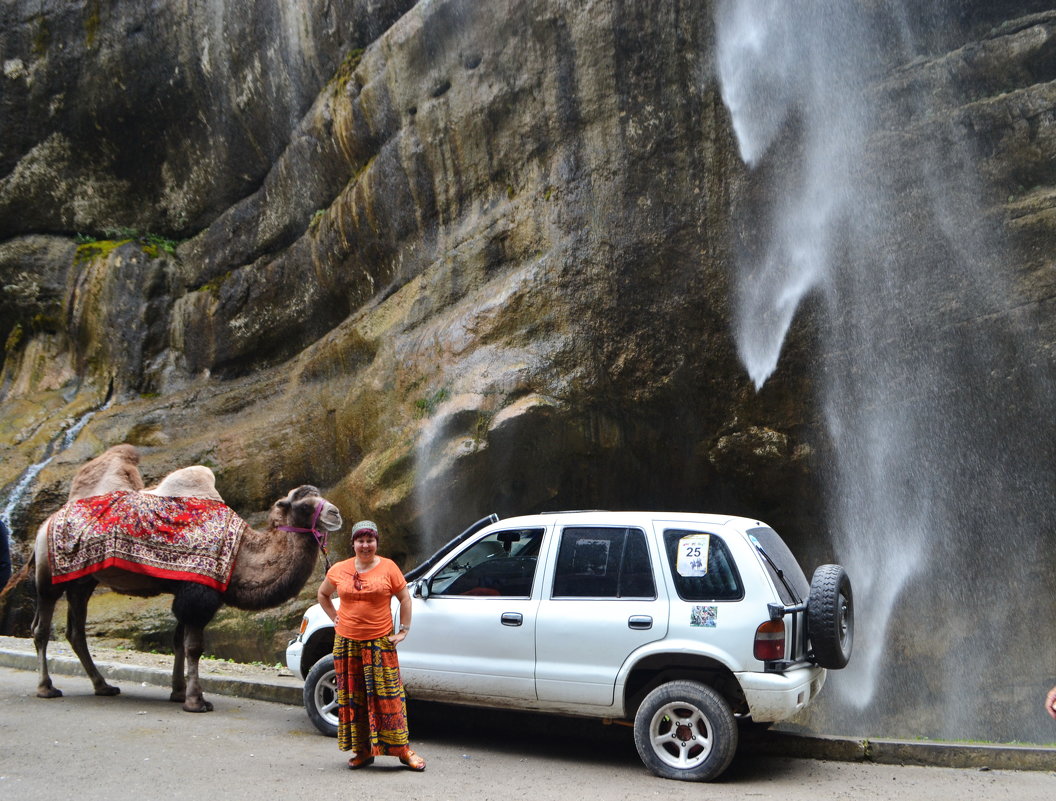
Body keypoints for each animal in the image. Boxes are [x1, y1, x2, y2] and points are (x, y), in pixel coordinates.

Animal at [28, 445, 342, 713]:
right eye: (304, 505)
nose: (336, 513)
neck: (239, 553)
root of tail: (46, 523)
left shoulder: (186, 587)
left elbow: (179, 641)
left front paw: (179, 692)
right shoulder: (197, 592)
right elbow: (194, 647)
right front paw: (195, 701)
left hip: (83, 581)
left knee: (76, 631)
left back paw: (103, 686)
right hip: (48, 575)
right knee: (41, 628)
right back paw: (46, 688)